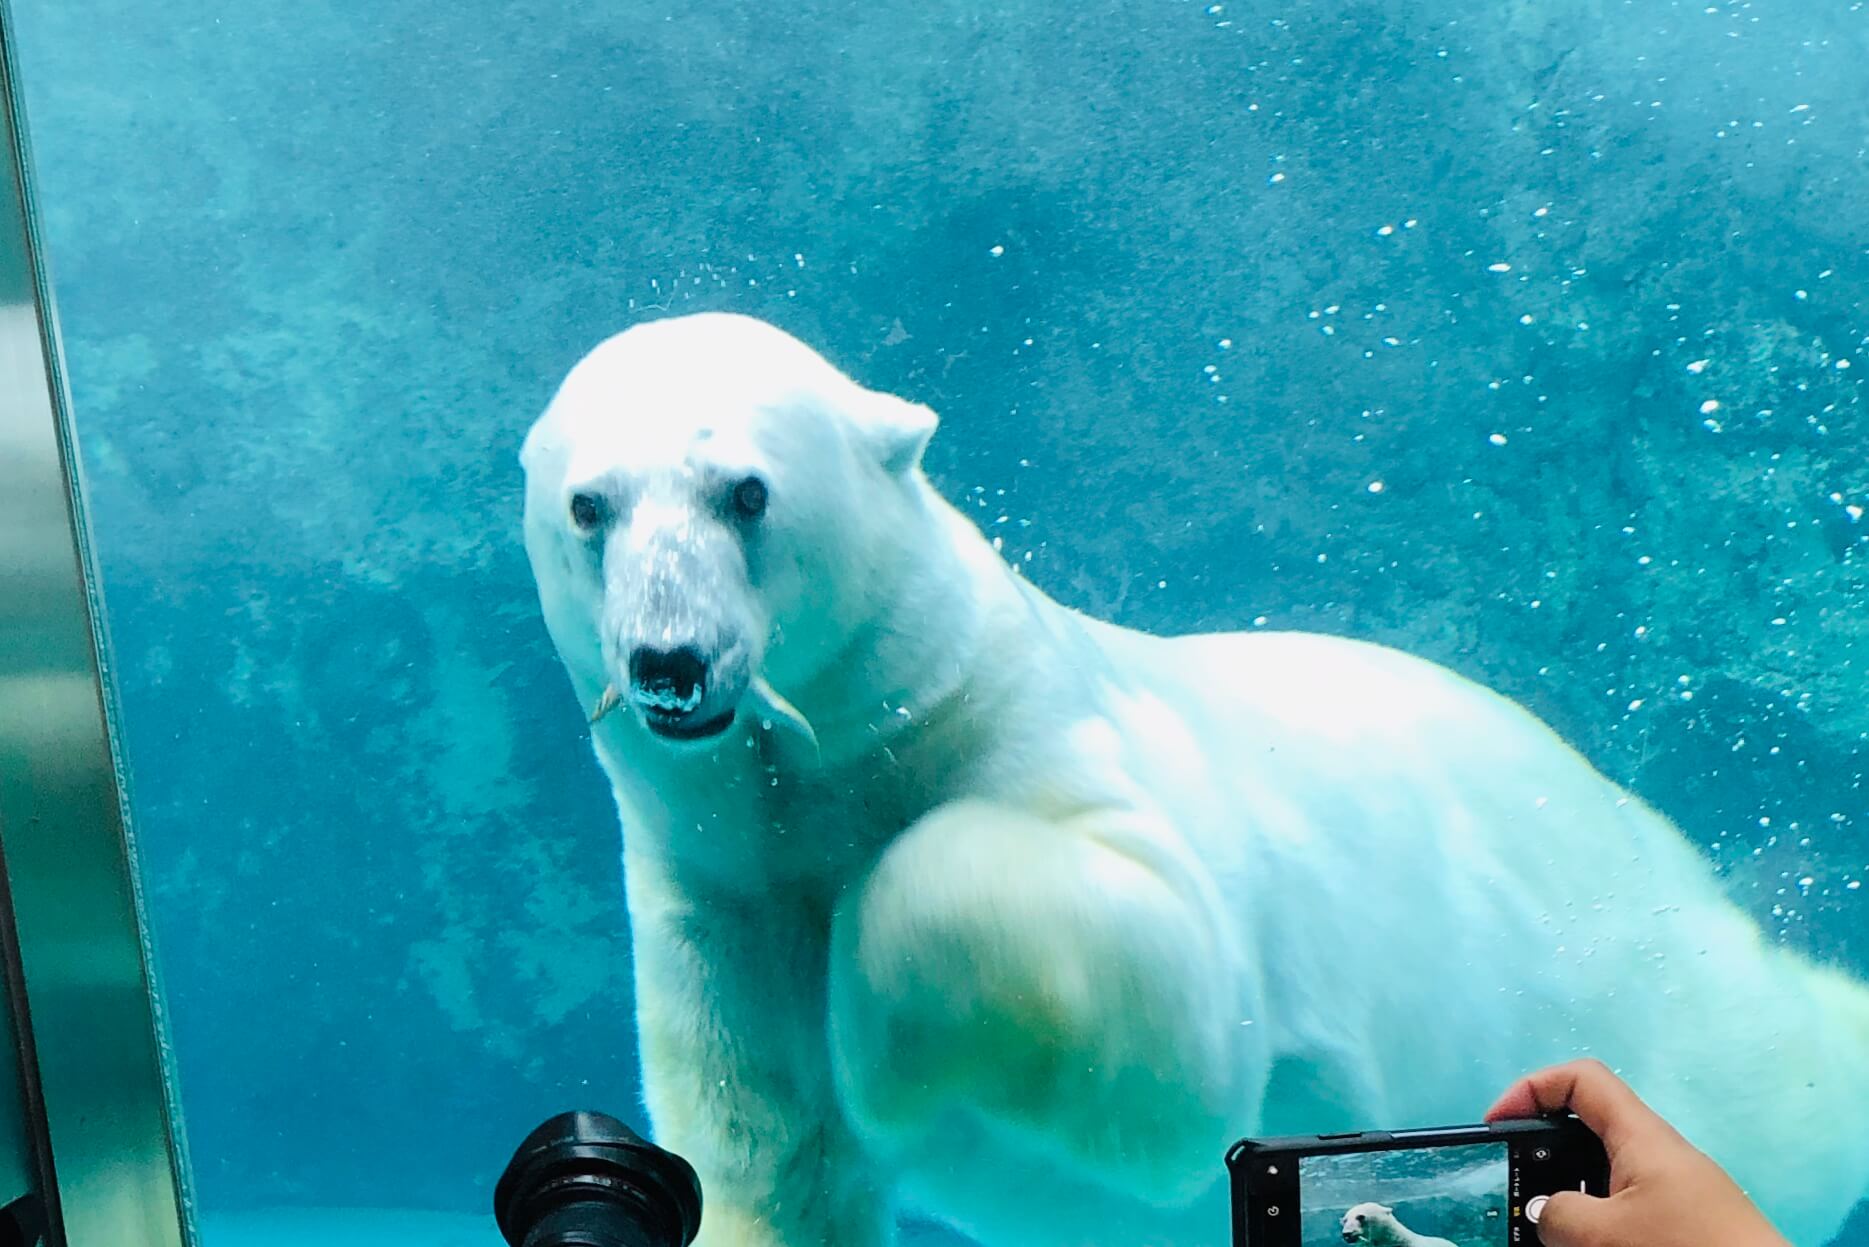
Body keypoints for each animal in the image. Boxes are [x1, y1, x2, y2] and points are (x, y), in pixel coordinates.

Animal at [523, 310, 1869, 1247]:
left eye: (746, 489)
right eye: (589, 504)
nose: (670, 660)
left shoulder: (1051, 739)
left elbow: (1169, 1012)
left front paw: (881, 1030)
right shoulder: (717, 892)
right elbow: (770, 1154)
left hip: (1653, 981)